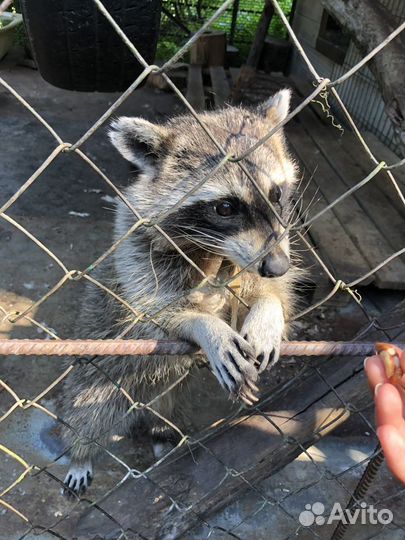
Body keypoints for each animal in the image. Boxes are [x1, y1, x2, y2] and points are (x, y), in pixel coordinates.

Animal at [60, 90, 300, 496]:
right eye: (225, 207)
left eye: (277, 193)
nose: (277, 265)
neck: (213, 252)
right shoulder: (136, 248)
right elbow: (153, 311)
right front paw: (206, 325)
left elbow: (267, 291)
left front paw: (268, 309)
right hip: (101, 365)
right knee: (89, 411)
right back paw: (81, 452)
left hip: (166, 386)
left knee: (164, 409)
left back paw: (162, 433)